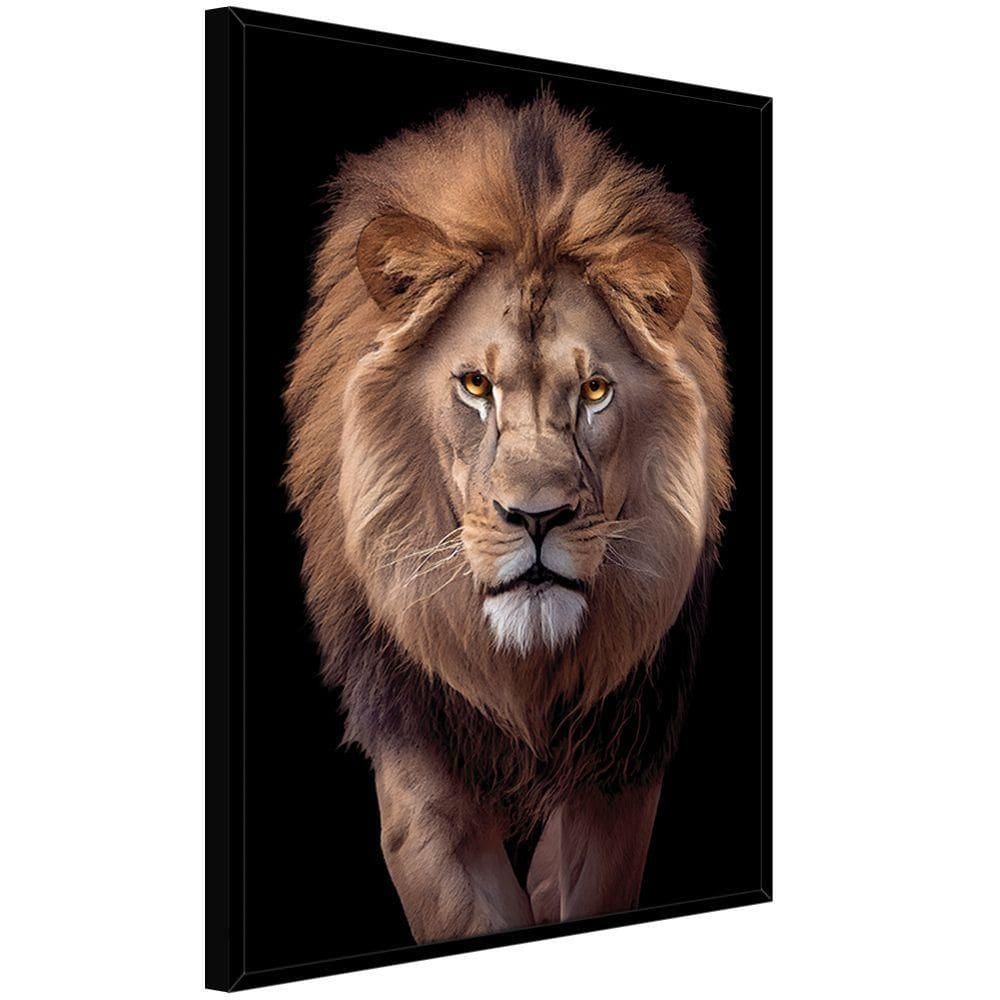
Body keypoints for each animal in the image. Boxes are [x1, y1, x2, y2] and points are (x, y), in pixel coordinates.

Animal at [284, 95, 732, 945]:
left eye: (594, 391)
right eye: (473, 386)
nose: (538, 517)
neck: (524, 679)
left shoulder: (619, 776)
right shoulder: (421, 779)